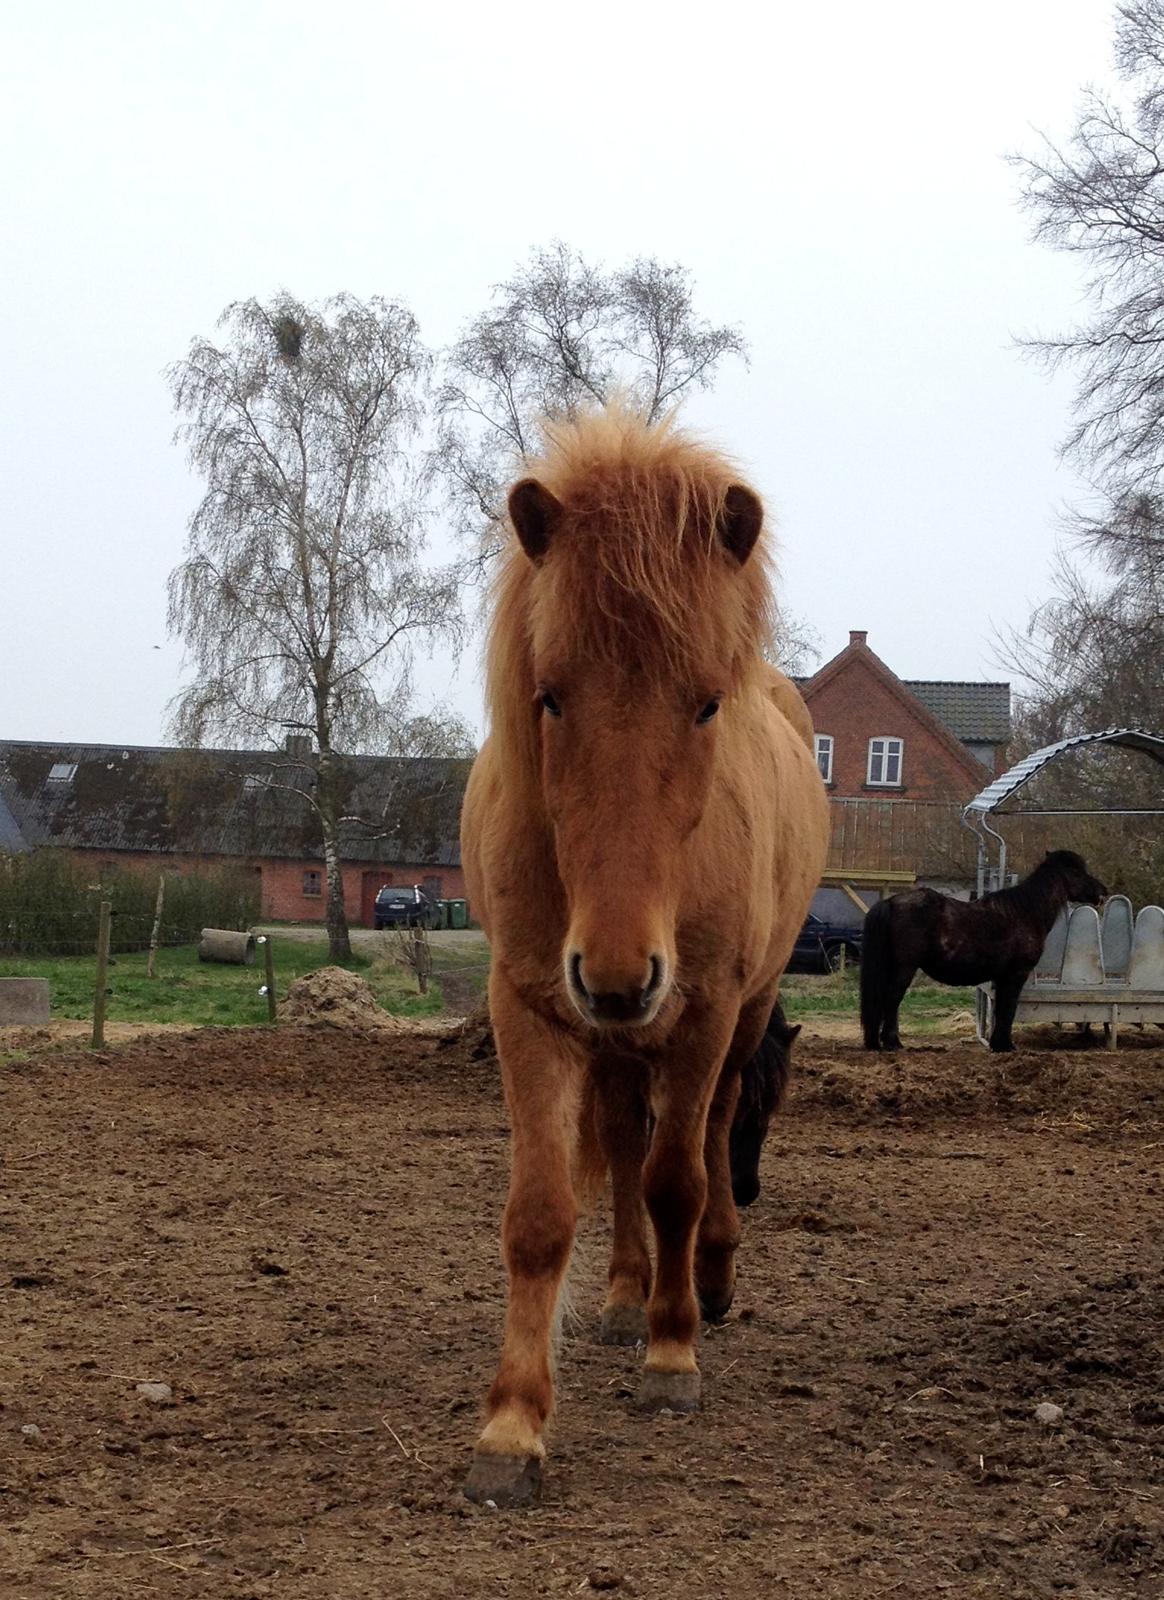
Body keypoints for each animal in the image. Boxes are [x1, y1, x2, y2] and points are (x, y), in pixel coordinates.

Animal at [460, 406, 831, 1504]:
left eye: (705, 704)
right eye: (548, 697)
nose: (621, 974)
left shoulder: (701, 1010)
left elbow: (678, 1179)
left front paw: (673, 1356)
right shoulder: (533, 1008)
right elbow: (542, 1213)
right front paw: (512, 1425)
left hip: (729, 1019)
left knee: (703, 1142)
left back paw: (700, 1281)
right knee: (626, 1148)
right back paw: (630, 1293)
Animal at [857, 844, 1106, 1056]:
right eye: (1079, 872)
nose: (1102, 891)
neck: (1025, 913)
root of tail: (890, 903)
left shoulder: (1002, 978)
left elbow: (1000, 1010)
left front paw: (997, 1044)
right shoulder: (1015, 975)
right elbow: (1008, 1009)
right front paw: (1005, 1045)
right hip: (905, 968)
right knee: (892, 999)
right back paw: (893, 1043)